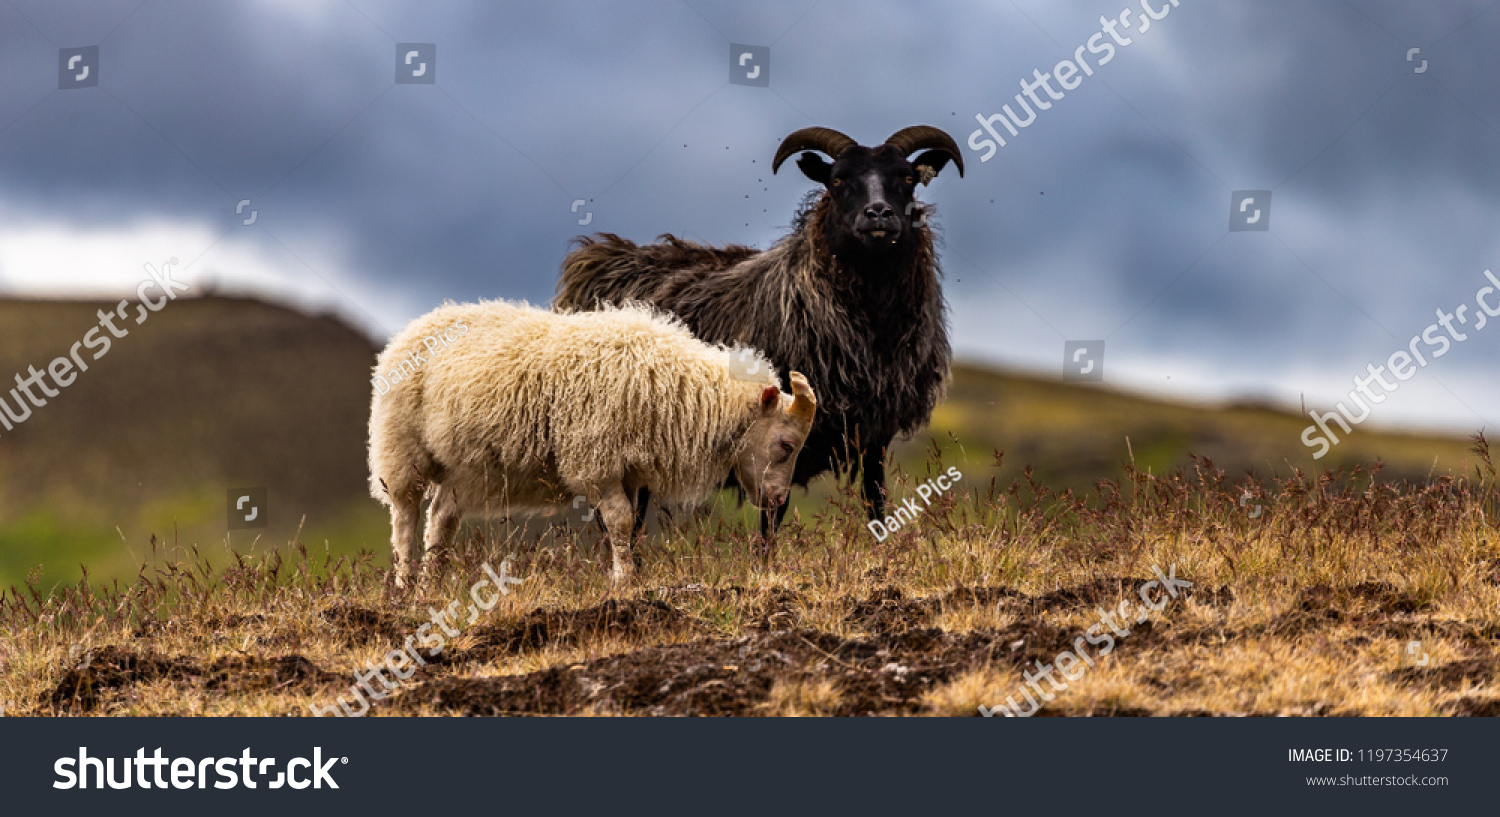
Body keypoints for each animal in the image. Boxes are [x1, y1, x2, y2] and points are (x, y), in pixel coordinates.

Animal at [367, 299, 818, 586]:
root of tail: (417, 326)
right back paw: (406, 583)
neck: (675, 388)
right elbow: (618, 520)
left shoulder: (629, 470)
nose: (778, 501)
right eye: (786, 445)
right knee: (404, 518)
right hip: (401, 450)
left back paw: (432, 583)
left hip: (460, 468)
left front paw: (625, 570)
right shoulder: (595, 462)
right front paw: (625, 579)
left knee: (440, 519)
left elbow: (630, 524)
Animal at [555, 125, 963, 532]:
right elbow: (772, 517)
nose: (878, 213)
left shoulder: (875, 435)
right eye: (837, 180)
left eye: (907, 179)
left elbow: (875, 502)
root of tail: (599, 259)